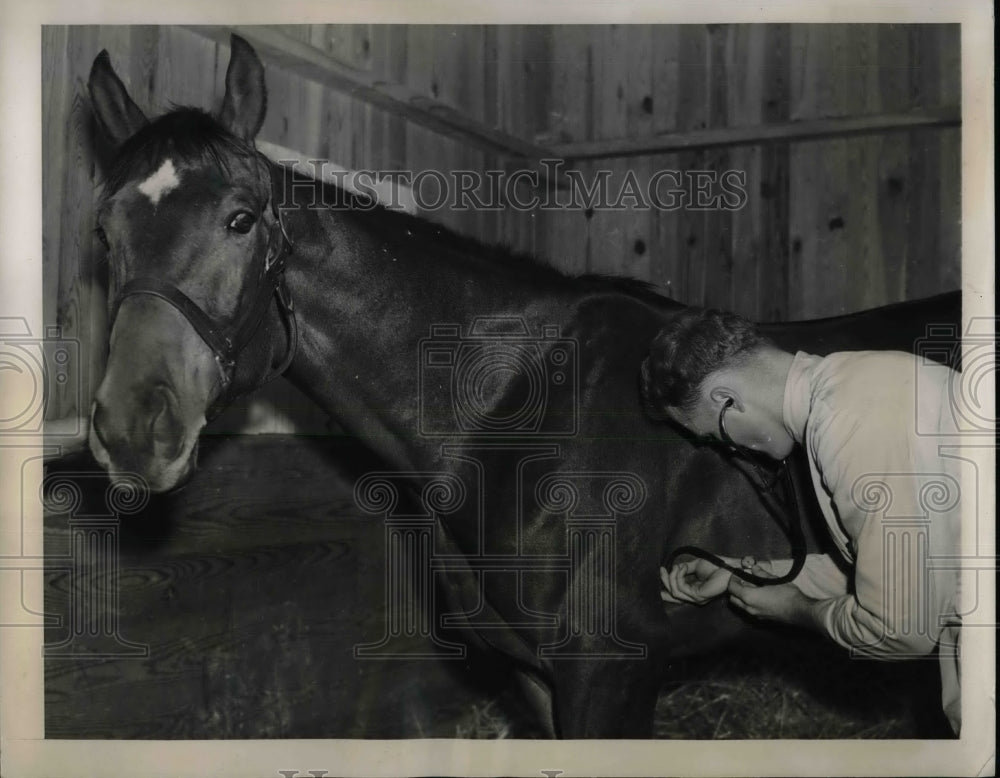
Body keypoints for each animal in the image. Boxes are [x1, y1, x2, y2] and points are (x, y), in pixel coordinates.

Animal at [86, 36, 960, 736]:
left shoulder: (608, 678)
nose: (133, 427)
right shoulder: (534, 679)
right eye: (104, 232)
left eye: (240, 220)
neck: (508, 415)